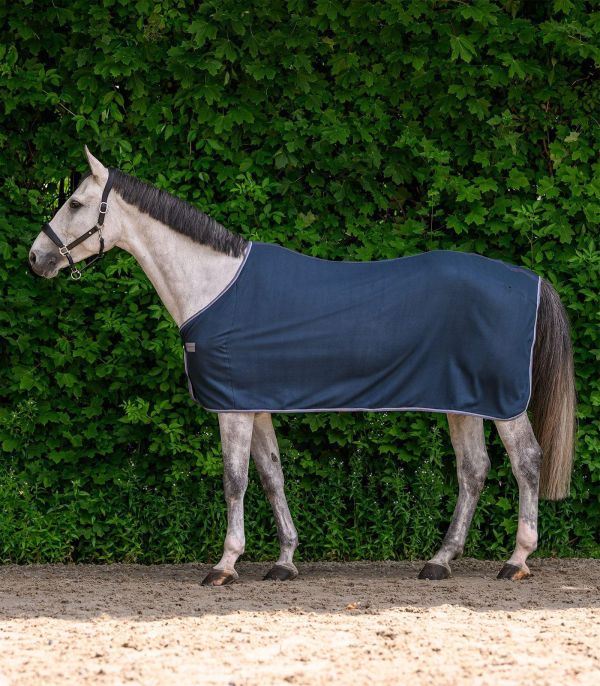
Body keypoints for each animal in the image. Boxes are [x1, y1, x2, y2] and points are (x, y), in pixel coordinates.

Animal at [29, 147, 576, 585]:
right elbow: (272, 475)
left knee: (527, 462)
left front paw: (225, 566)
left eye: (74, 203)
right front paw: (285, 561)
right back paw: (439, 561)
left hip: (503, 401)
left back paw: (516, 560)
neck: (213, 284)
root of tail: (532, 280)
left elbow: (234, 480)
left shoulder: (232, 409)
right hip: (463, 401)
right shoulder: (254, 404)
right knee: (473, 470)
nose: (36, 259)